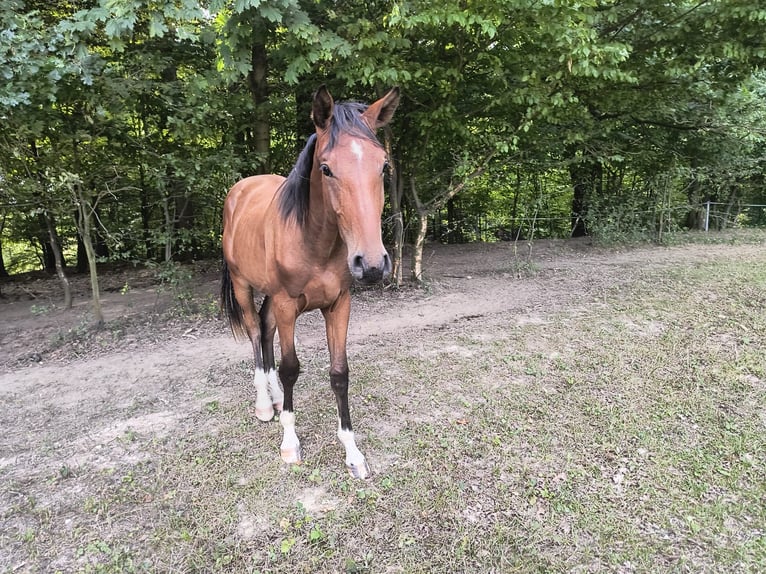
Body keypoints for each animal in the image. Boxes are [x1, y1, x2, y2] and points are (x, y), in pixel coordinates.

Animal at [220, 86, 400, 479]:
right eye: (326, 168)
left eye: (383, 166)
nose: (372, 265)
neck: (314, 241)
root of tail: (239, 191)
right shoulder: (288, 304)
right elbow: (291, 369)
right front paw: (290, 443)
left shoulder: (339, 304)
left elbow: (339, 372)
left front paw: (353, 452)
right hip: (244, 286)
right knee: (255, 332)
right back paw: (264, 404)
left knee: (266, 331)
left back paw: (273, 399)